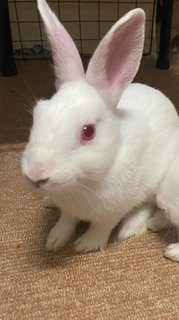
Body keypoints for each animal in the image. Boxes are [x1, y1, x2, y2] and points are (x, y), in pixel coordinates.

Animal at [21, 0, 179, 262]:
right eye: (37, 115)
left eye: (88, 131)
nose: (36, 173)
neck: (81, 183)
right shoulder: (68, 210)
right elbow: (66, 220)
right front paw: (54, 239)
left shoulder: (111, 211)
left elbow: (101, 227)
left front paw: (86, 244)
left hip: (154, 181)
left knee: (147, 205)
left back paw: (130, 228)